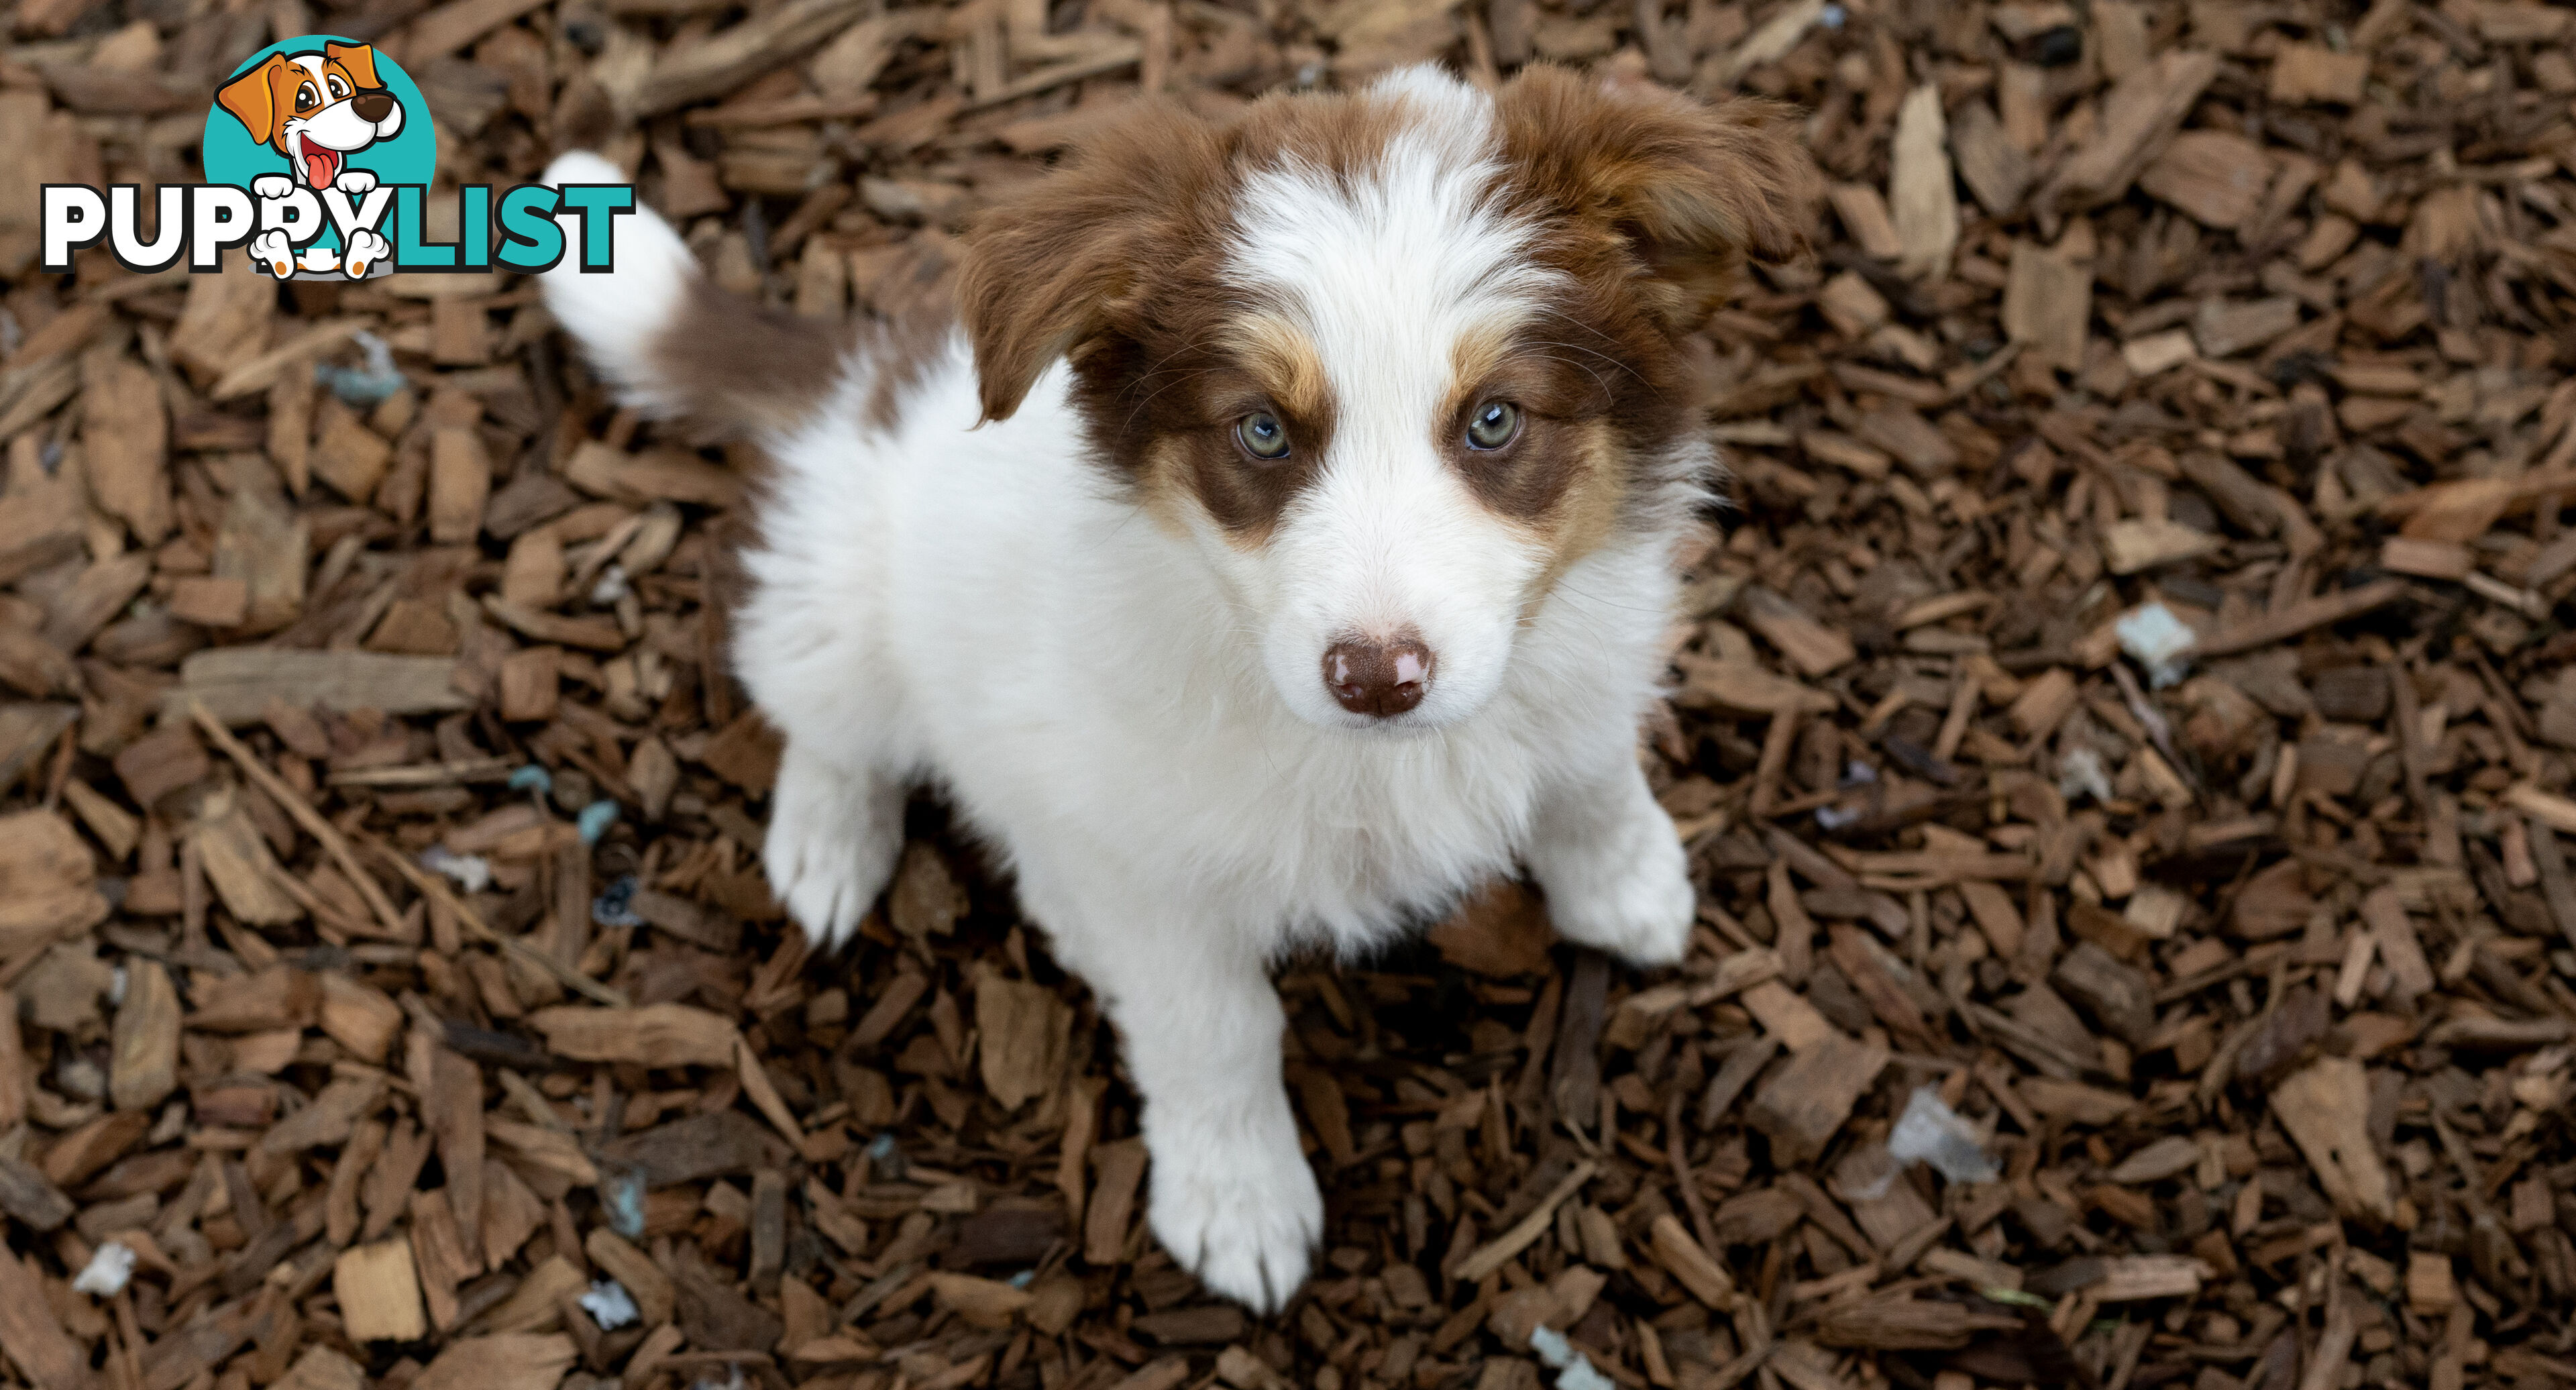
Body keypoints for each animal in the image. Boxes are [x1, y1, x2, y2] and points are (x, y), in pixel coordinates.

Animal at [533, 60, 1803, 1307]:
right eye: (1261, 432)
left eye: (1495, 419)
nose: (1376, 679)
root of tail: (875, 391)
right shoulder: (1146, 856)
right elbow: (1215, 1028)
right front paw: (1239, 1203)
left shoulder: (1584, 661)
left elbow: (1590, 775)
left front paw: (1629, 886)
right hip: (845, 602)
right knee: (822, 714)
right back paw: (829, 848)